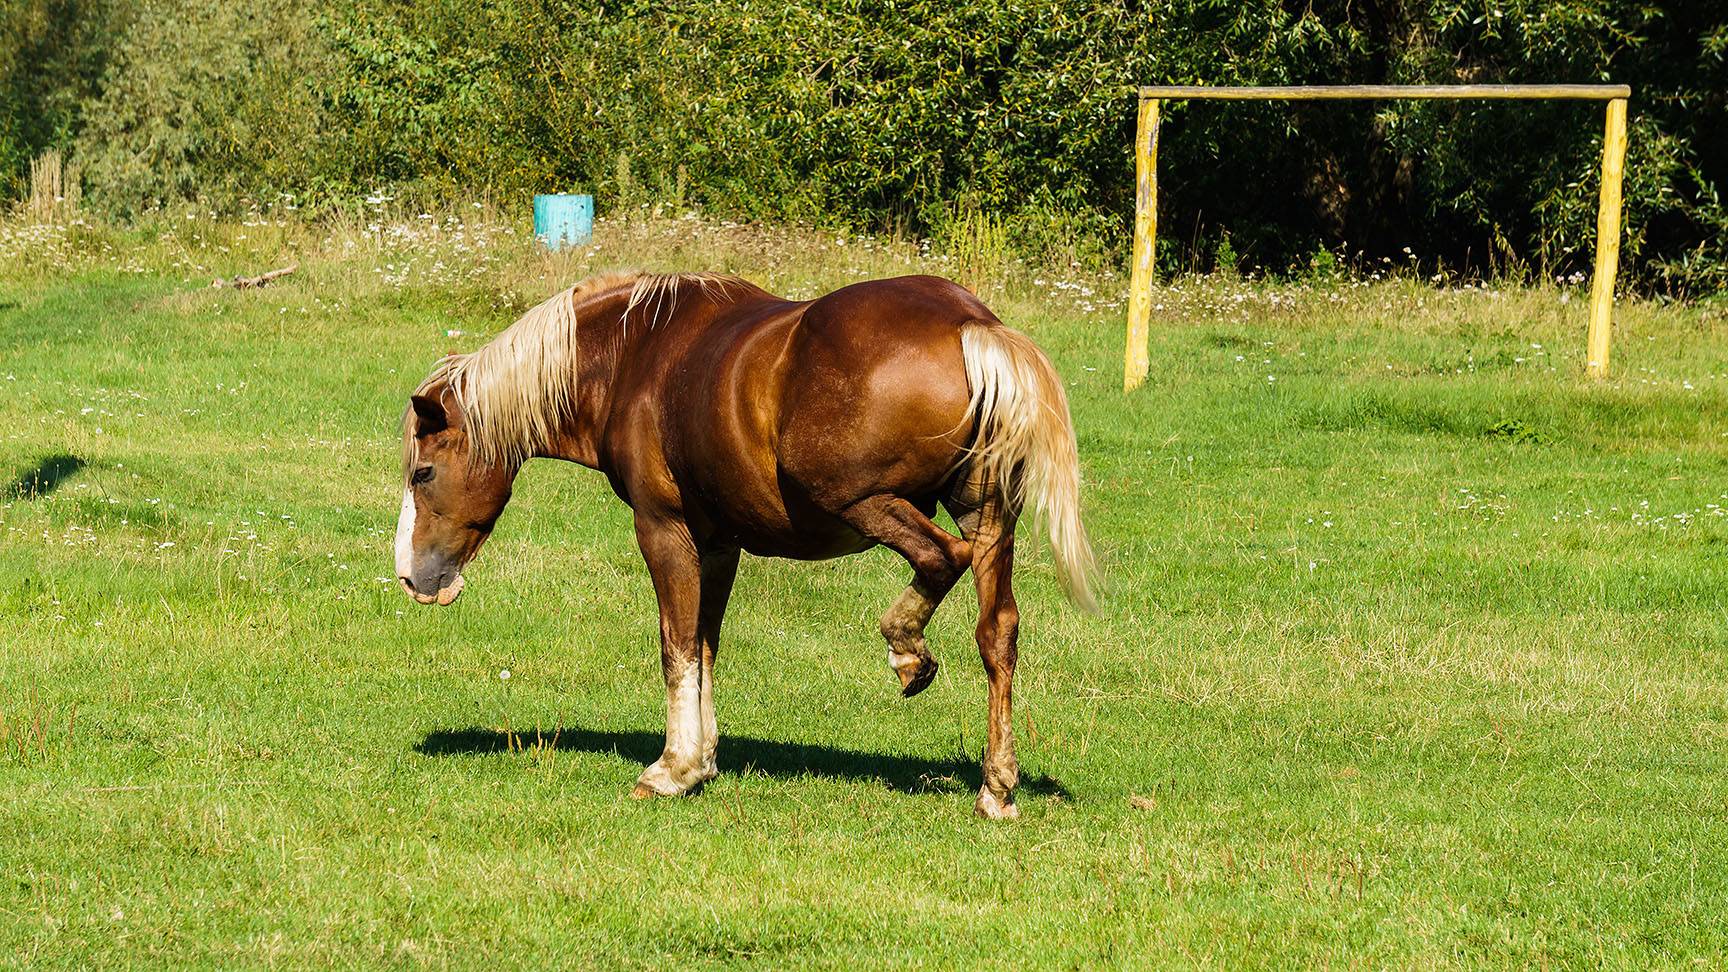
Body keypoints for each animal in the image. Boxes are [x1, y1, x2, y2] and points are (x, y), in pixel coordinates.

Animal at [395, 271, 1096, 818]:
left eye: (423, 472)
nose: (410, 576)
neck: (634, 355)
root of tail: (972, 323)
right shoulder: (718, 545)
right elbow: (705, 646)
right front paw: (702, 759)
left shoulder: (664, 530)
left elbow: (677, 646)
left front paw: (673, 768)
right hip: (987, 516)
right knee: (996, 633)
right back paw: (996, 786)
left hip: (865, 503)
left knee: (941, 558)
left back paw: (908, 651)